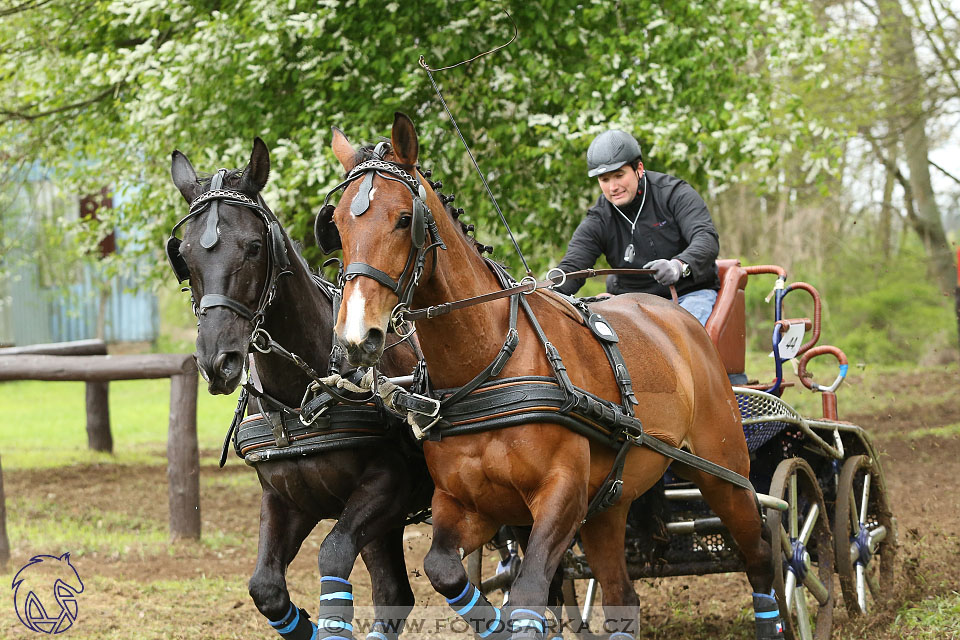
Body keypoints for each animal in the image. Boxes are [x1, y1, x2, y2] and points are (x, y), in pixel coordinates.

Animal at [169, 139, 432, 640]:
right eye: (185, 256)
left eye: (254, 247)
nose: (217, 361)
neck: (302, 398)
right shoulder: (285, 499)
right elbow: (266, 588)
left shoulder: (388, 487)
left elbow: (333, 554)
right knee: (394, 594)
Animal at [326, 115, 784, 640]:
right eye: (336, 224)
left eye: (405, 219)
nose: (356, 337)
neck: (489, 365)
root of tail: (676, 316)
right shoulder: (468, 504)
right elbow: (444, 570)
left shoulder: (561, 495)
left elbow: (528, 597)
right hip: (609, 505)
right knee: (622, 596)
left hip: (725, 474)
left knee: (761, 556)